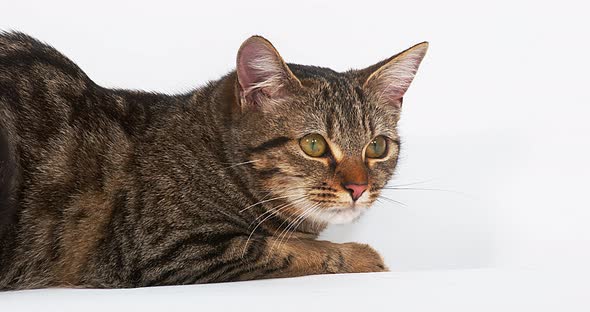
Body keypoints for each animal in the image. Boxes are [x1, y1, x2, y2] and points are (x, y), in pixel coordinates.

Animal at [0, 32, 428, 290]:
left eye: (377, 147)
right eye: (314, 145)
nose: (359, 187)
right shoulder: (166, 250)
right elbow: (289, 250)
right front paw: (362, 255)